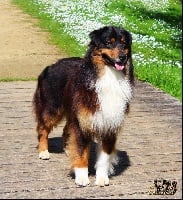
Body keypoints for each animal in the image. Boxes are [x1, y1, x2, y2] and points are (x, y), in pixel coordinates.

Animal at [32, 25, 133, 187]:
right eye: (108, 43)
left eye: (124, 44)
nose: (123, 57)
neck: (108, 76)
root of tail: (51, 66)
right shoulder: (82, 123)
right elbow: (81, 152)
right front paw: (81, 177)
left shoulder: (109, 124)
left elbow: (104, 157)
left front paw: (102, 178)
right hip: (52, 108)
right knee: (42, 129)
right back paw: (43, 152)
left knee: (66, 129)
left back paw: (67, 149)